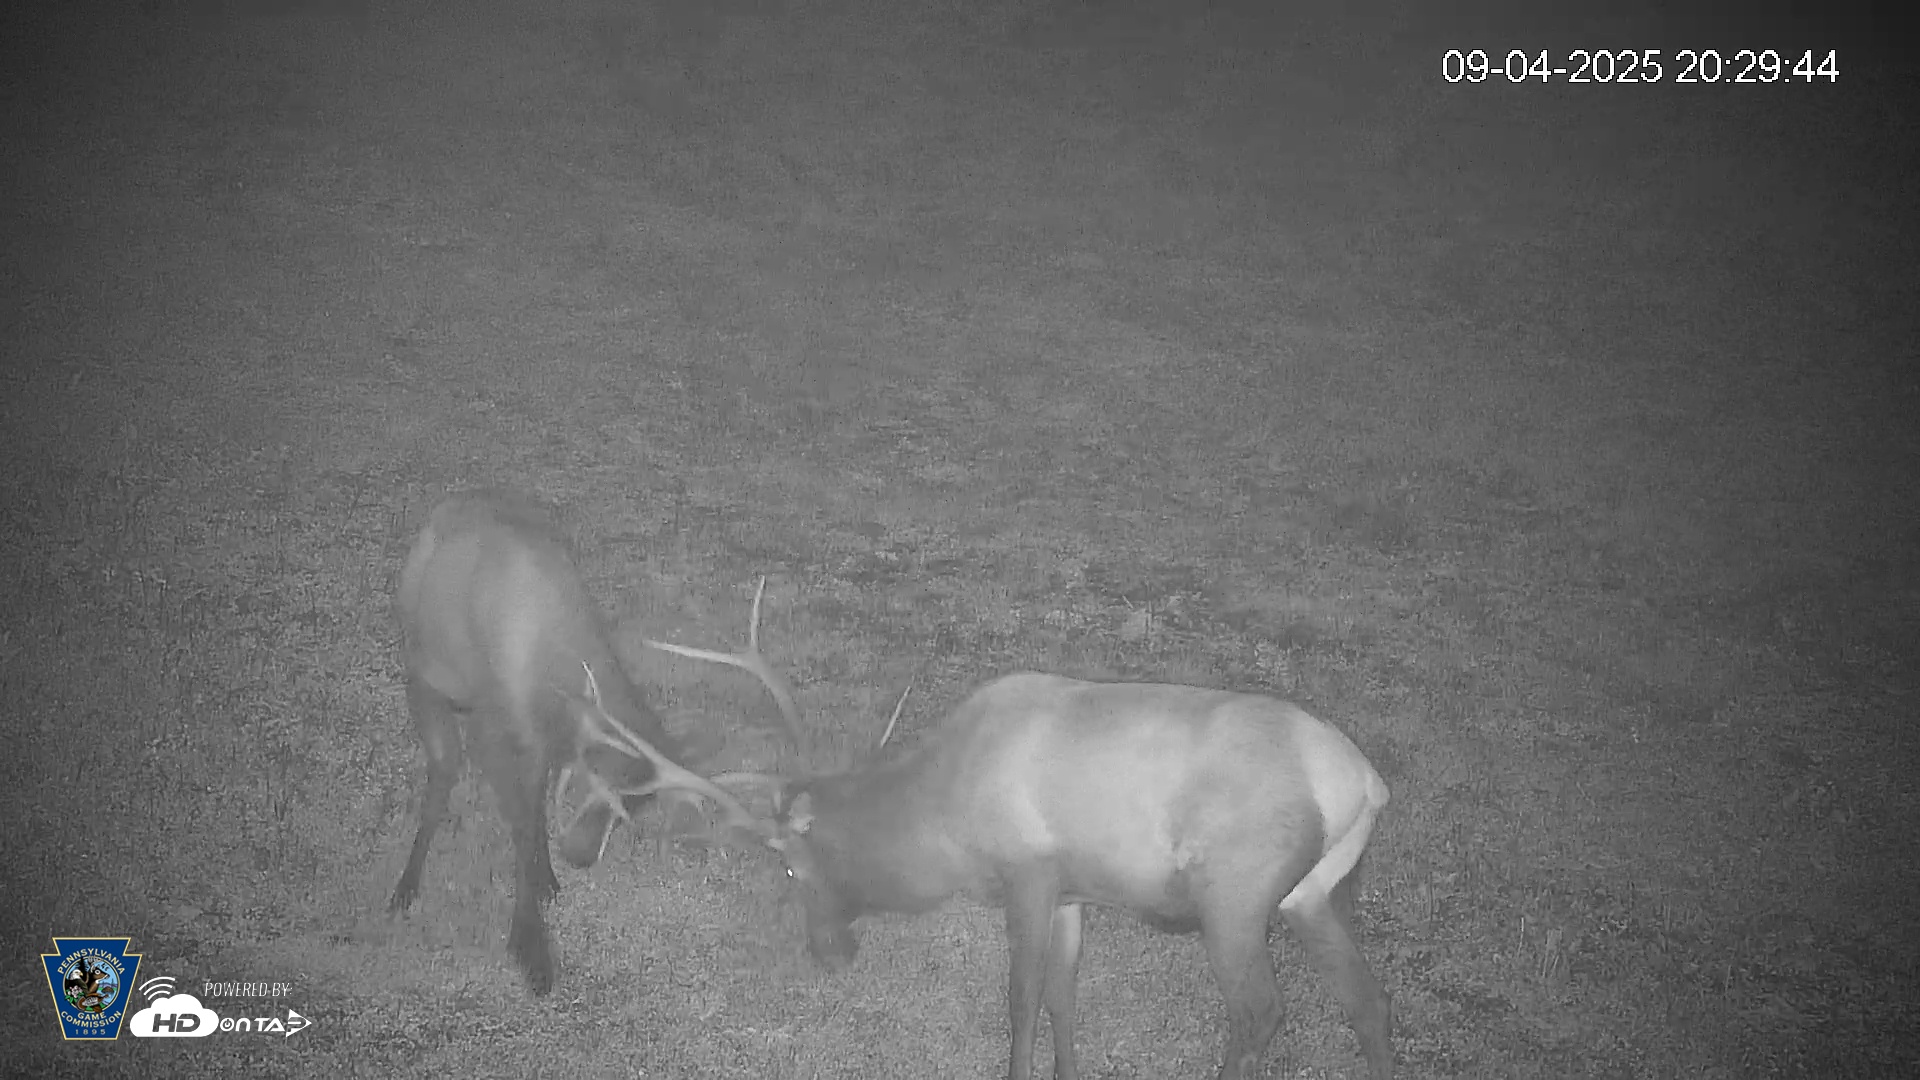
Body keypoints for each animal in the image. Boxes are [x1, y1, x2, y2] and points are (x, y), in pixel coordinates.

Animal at [387, 490, 800, 994]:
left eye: (634, 809)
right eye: (598, 781)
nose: (581, 858)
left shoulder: (539, 735)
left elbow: (535, 808)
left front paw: (546, 882)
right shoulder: (497, 721)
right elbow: (520, 823)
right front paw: (531, 951)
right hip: (423, 674)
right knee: (442, 771)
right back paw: (406, 887)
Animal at [611, 665, 1396, 1080]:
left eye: (791, 871)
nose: (830, 953)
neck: (944, 816)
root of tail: (1362, 783)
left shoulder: (1029, 874)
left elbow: (1020, 999)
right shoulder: (1074, 892)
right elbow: (1062, 998)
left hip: (1234, 899)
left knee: (1259, 1010)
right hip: (1315, 896)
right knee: (1369, 1002)